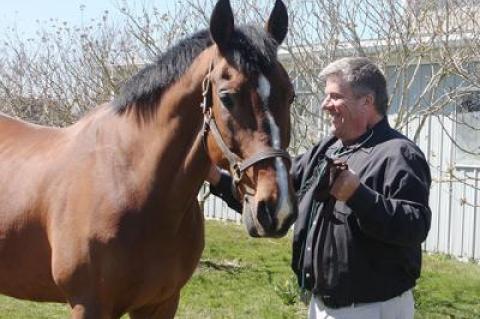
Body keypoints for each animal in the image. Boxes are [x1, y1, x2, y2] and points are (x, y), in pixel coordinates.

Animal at [0, 0, 296, 318]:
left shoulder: (161, 303)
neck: (130, 182)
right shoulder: (88, 305)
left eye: (291, 95)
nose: (277, 208)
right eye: (227, 97)